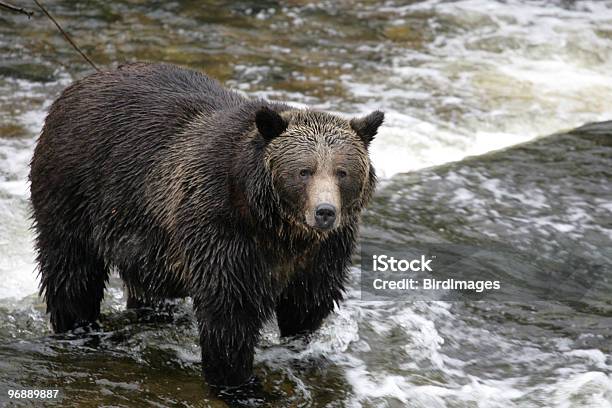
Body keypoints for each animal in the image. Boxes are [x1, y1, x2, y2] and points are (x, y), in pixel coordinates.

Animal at [29, 62, 382, 388]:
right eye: (304, 171)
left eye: (341, 171)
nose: (325, 212)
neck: (277, 227)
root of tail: (78, 85)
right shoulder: (221, 227)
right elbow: (229, 310)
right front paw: (237, 381)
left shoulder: (324, 251)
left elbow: (307, 304)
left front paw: (302, 350)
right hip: (75, 191)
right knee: (72, 271)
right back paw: (78, 328)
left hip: (144, 235)